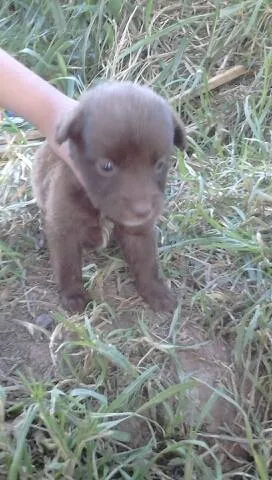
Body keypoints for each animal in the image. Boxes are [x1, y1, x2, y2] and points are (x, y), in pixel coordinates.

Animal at [31, 81, 185, 316]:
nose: (143, 210)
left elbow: (147, 262)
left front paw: (156, 291)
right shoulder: (63, 226)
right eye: (106, 166)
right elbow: (67, 264)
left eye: (160, 164)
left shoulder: (138, 231)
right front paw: (72, 294)